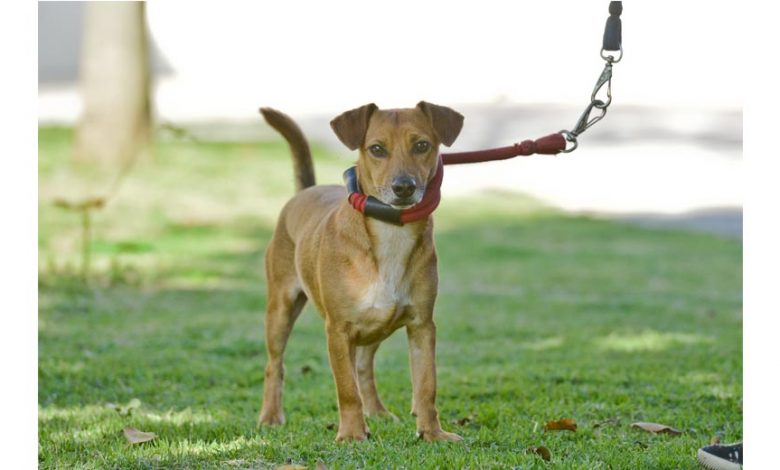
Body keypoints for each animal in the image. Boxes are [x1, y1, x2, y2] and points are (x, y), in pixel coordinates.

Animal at [258, 102, 464, 440]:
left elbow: (426, 387)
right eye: (377, 149)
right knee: (275, 365)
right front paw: (353, 434)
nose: (403, 187)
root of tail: (306, 191)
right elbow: (346, 389)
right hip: (281, 310)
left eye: (422, 146)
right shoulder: (338, 331)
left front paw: (432, 433)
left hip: (377, 326)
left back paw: (377, 412)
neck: (391, 232)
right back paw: (270, 416)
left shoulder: (422, 326)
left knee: (364, 367)